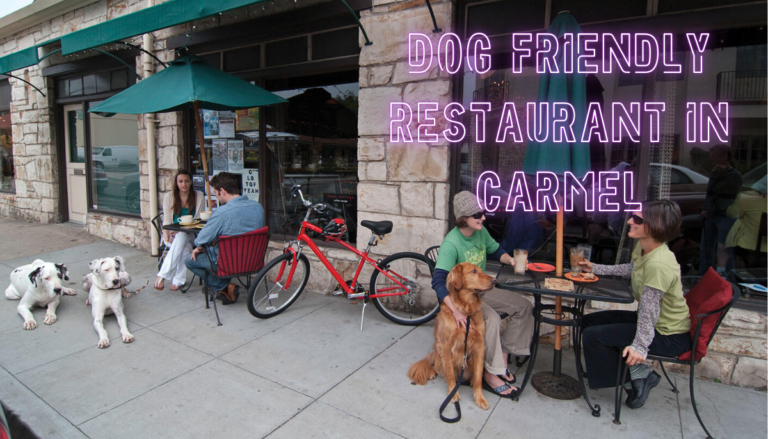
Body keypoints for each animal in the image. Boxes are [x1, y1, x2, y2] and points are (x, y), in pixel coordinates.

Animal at [408, 262, 498, 410]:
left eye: (481, 270)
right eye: (474, 271)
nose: (495, 280)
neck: (466, 310)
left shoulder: (479, 345)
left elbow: (479, 375)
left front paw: (480, 398)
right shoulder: (446, 345)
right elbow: (450, 373)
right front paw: (453, 394)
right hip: (437, 351)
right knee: (435, 366)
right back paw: (432, 372)